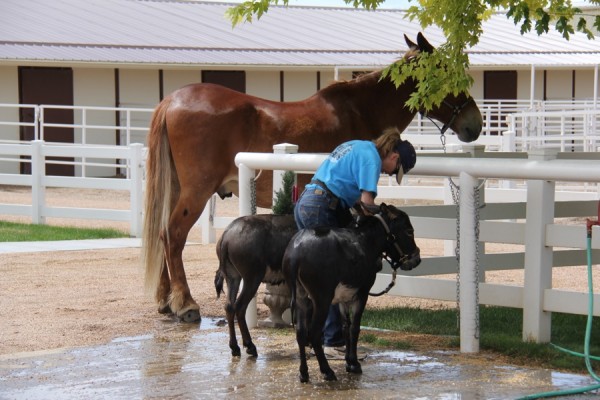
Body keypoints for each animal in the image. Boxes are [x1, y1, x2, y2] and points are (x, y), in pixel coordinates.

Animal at [142, 32, 482, 324]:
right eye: (446, 72)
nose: (475, 124)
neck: (361, 110)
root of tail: (171, 100)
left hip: (175, 189)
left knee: (162, 235)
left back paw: (165, 300)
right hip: (196, 192)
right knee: (173, 235)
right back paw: (185, 304)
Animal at [217, 214, 298, 358]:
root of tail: (227, 234)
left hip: (233, 277)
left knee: (229, 307)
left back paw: (235, 347)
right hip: (252, 278)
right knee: (240, 306)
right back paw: (250, 346)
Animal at [282, 205, 420, 382]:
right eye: (409, 231)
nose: (417, 259)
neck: (365, 242)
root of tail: (297, 250)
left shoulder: (343, 298)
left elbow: (345, 327)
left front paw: (348, 361)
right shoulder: (362, 294)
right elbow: (355, 327)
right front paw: (354, 364)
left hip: (301, 298)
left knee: (300, 332)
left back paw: (304, 373)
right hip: (321, 300)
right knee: (314, 333)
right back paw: (327, 371)